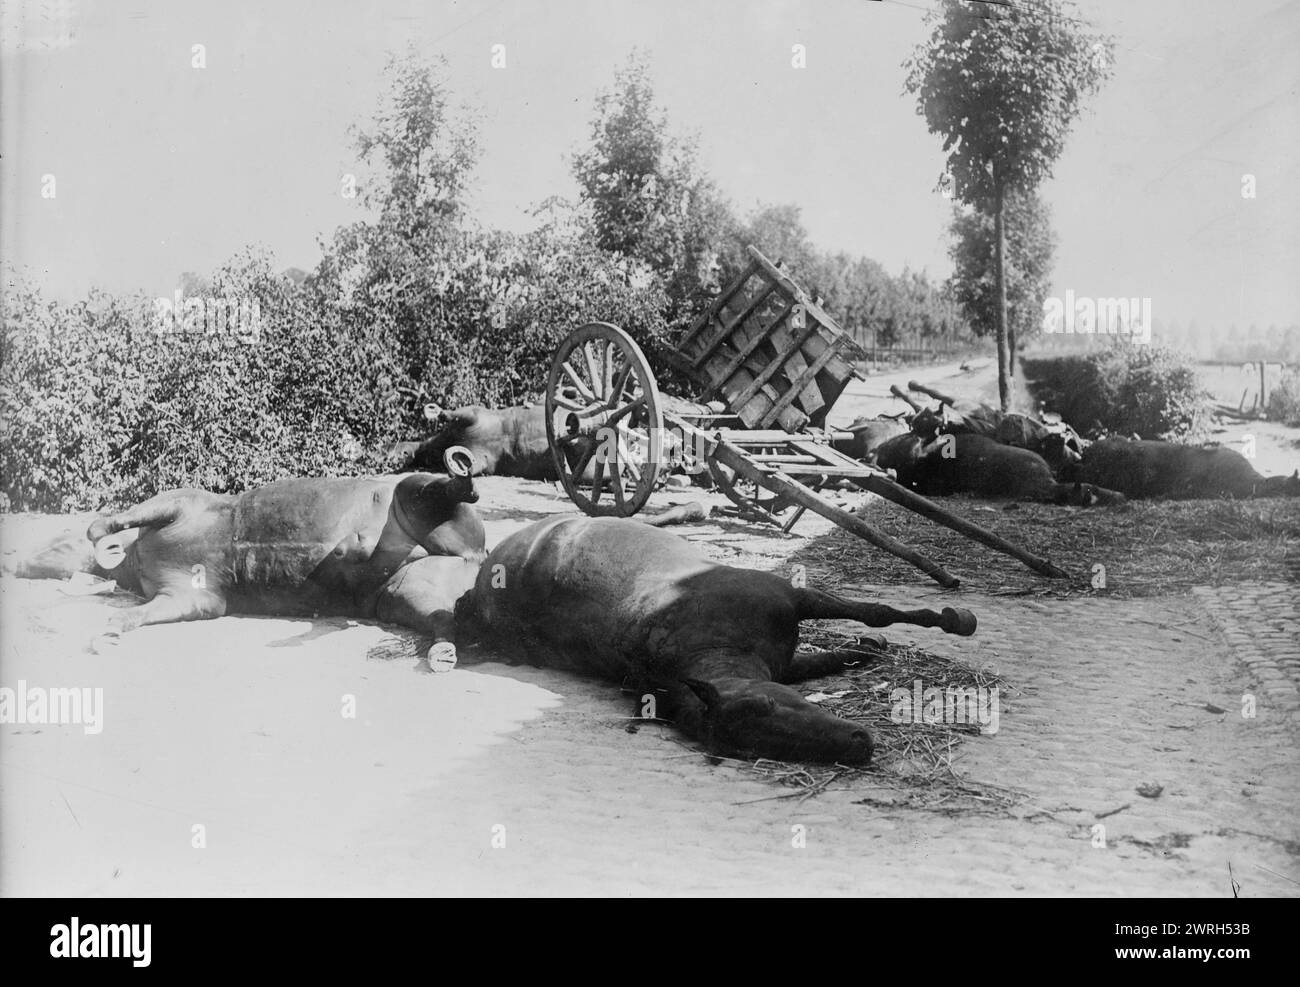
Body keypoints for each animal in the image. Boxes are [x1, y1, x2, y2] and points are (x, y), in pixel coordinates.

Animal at [457, 517, 977, 764]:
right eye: (750, 745)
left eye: (767, 704)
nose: (858, 744)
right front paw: (863, 650)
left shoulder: (793, 600)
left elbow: (875, 614)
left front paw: (949, 621)